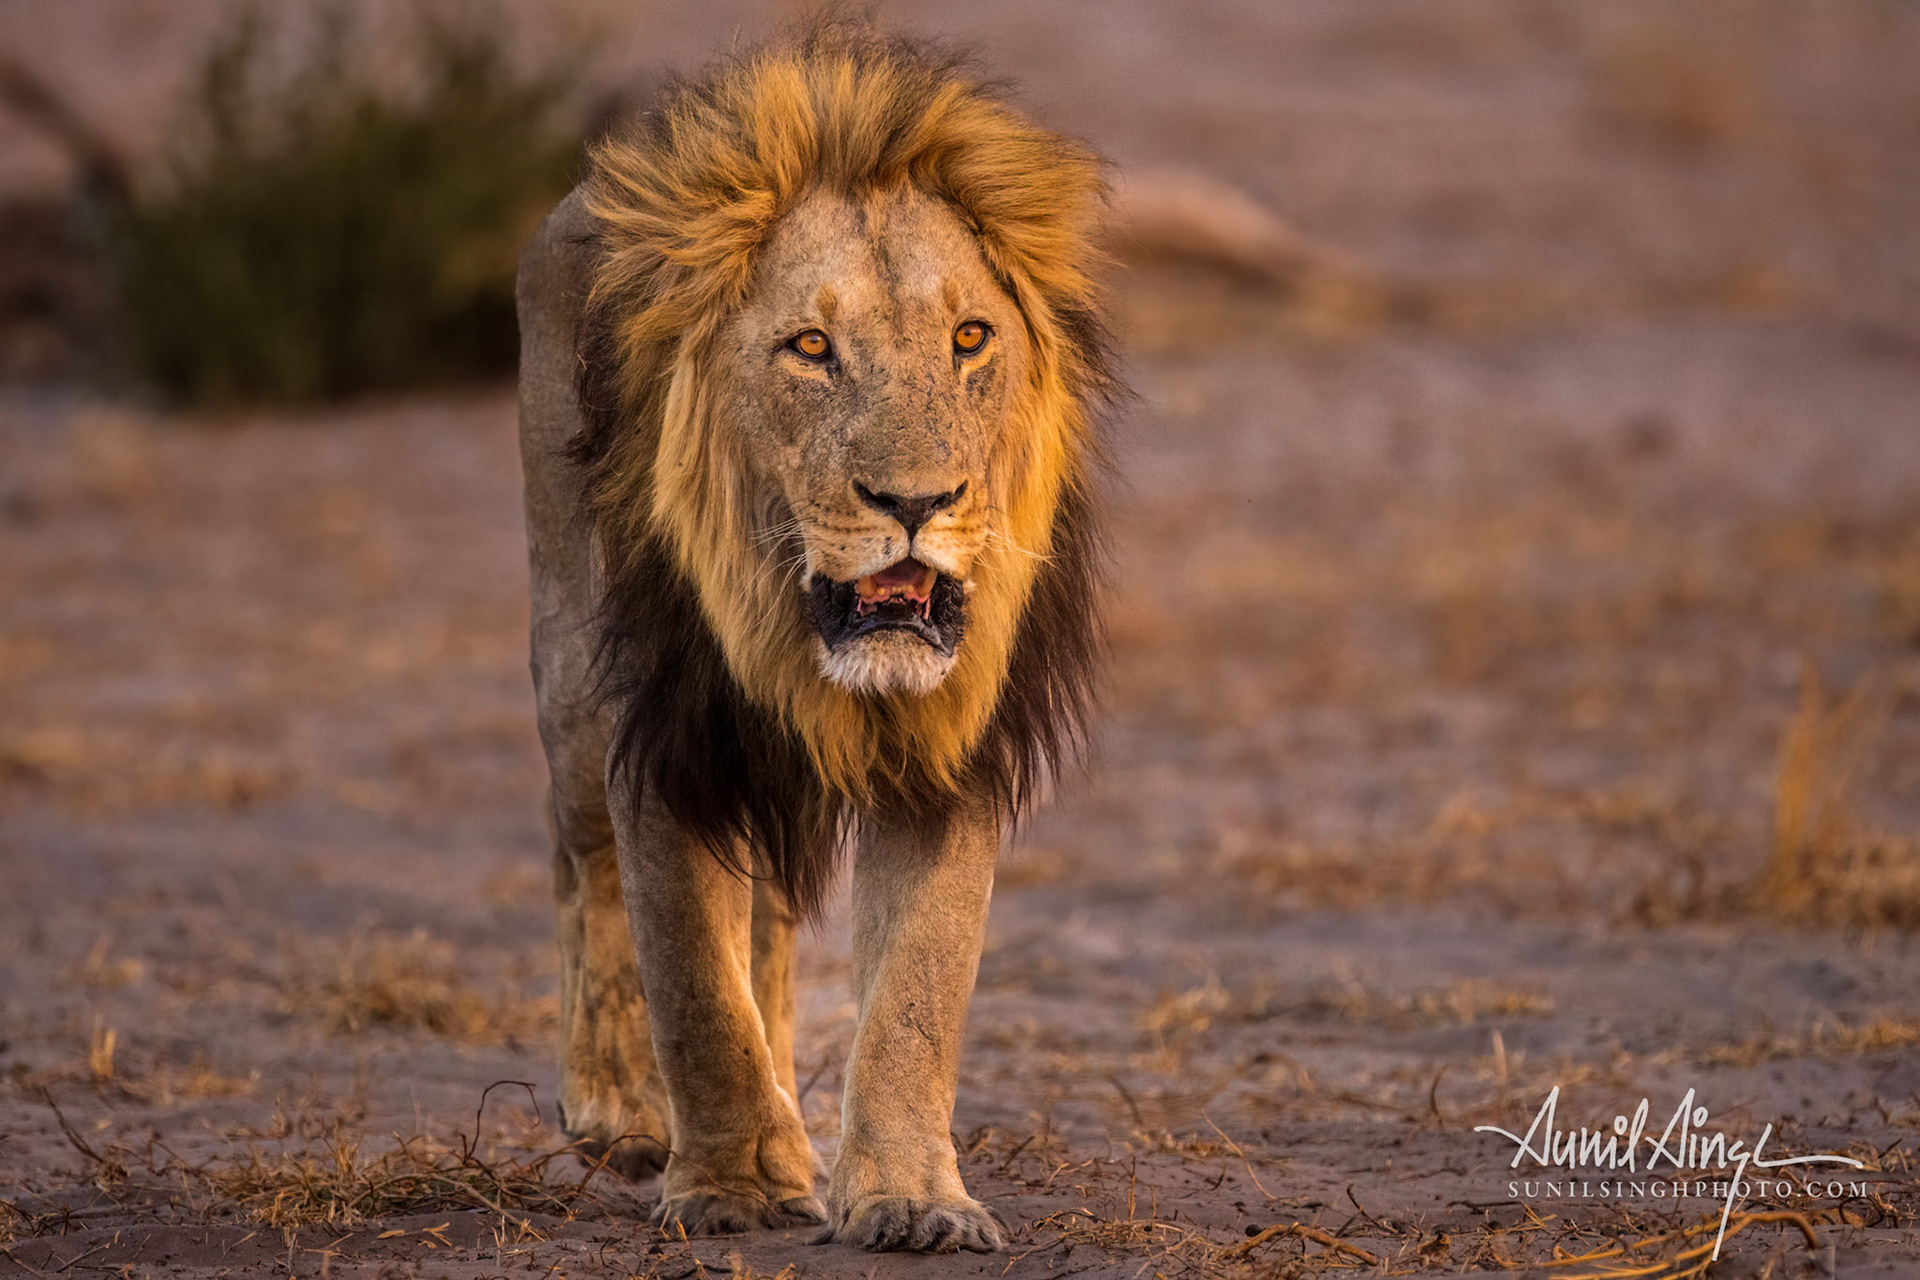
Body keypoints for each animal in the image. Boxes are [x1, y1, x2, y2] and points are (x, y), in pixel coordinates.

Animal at [515, 24, 1114, 1254]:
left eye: (970, 338)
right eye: (808, 347)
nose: (918, 501)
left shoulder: (949, 750)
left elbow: (919, 990)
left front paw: (911, 1196)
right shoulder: (667, 728)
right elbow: (691, 978)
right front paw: (735, 1185)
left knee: (772, 923)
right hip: (570, 673)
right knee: (580, 854)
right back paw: (619, 1107)